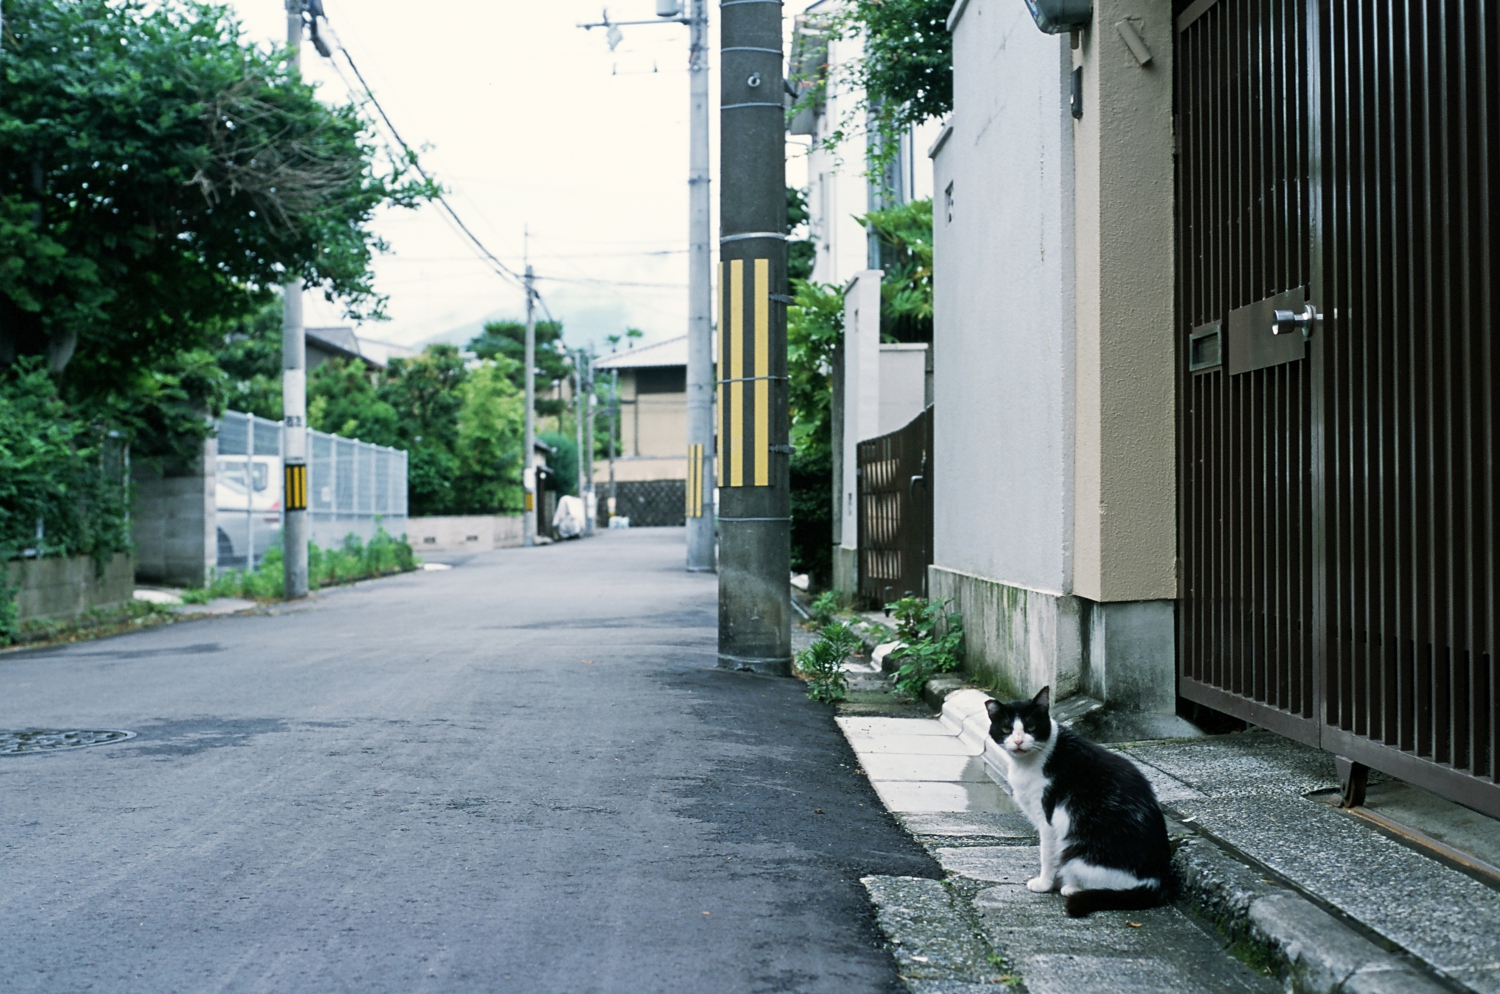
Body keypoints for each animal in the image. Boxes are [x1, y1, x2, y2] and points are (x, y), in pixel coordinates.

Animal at [986, 686, 1173, 917]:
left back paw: (1071, 887)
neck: (1028, 763)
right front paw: (1052, 881)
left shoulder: (1048, 821)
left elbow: (1047, 855)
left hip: (1078, 850)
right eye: (1006, 729)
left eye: (1031, 727)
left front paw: (1044, 884)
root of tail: (1156, 881)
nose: (1019, 741)